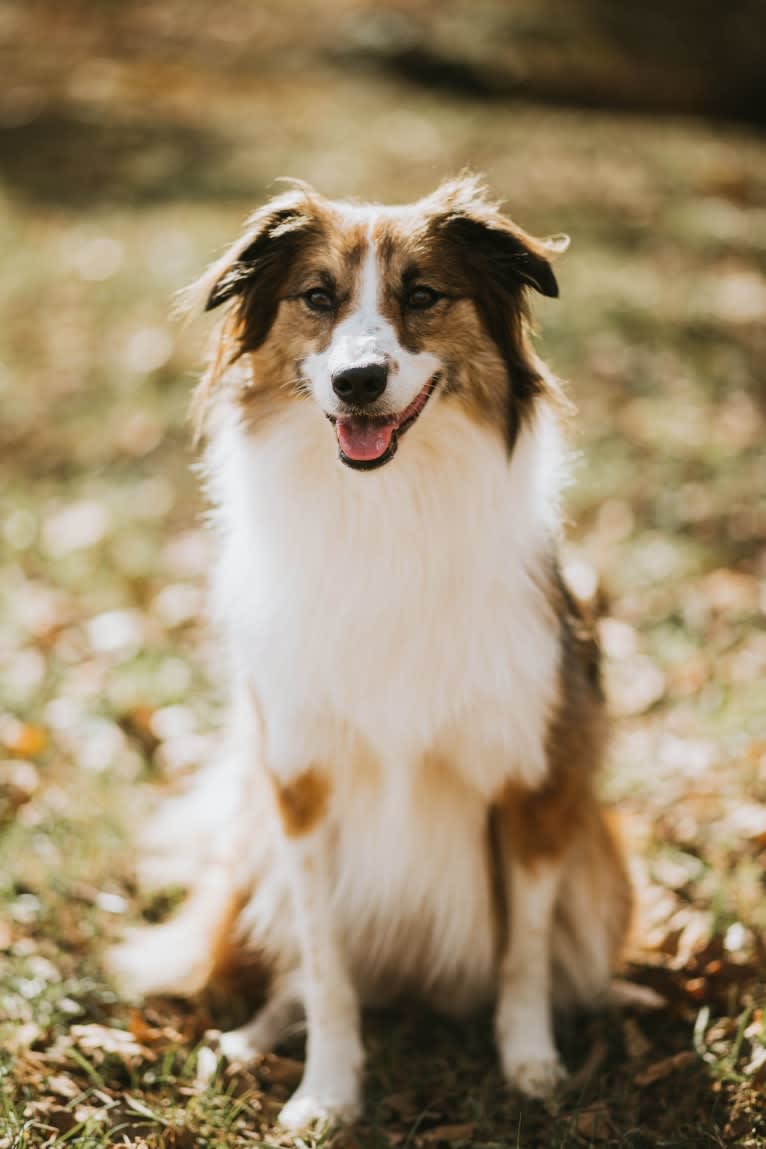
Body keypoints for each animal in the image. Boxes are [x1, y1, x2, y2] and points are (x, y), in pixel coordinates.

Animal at [109, 179, 633, 1130]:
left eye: (422, 294)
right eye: (317, 296)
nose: (359, 381)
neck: (387, 509)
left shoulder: (538, 778)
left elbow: (526, 949)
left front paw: (530, 1063)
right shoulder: (300, 785)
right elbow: (325, 965)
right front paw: (327, 1089)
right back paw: (247, 1041)